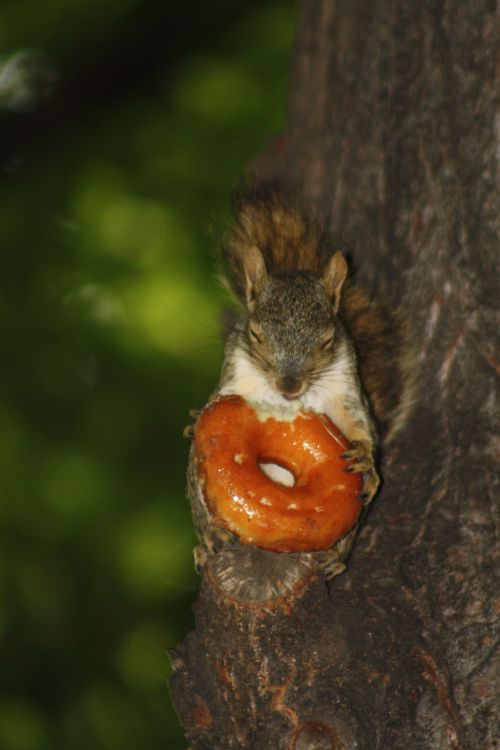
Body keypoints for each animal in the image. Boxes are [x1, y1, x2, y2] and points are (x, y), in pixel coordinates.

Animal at [188, 185, 414, 580]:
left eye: (327, 340)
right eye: (256, 335)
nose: (289, 386)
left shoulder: (346, 391)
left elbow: (360, 426)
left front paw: (366, 459)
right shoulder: (230, 387)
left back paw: (335, 558)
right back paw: (209, 540)